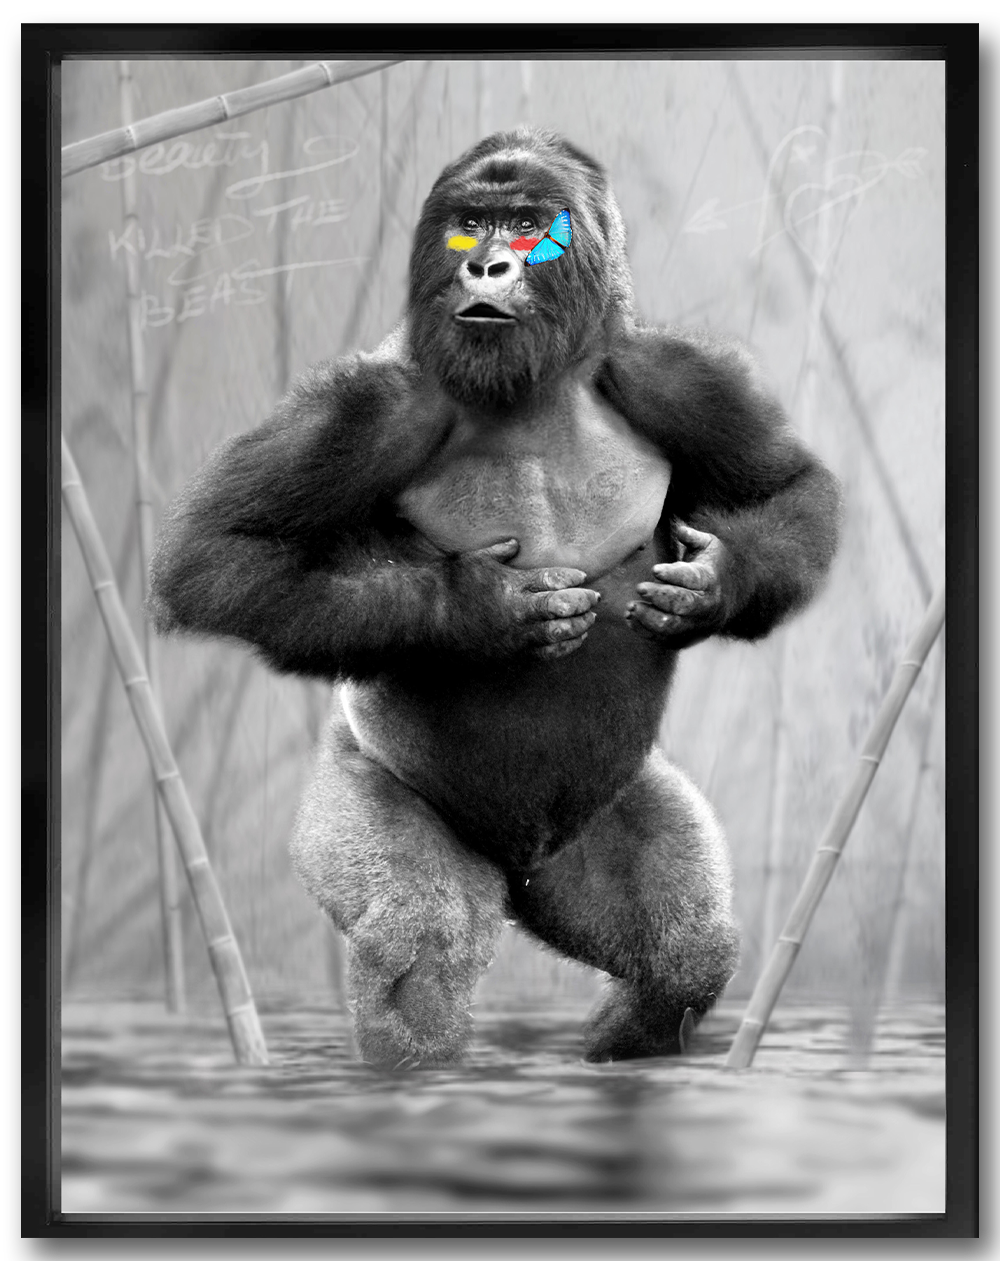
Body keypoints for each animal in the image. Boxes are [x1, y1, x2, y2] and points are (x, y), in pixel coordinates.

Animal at [149, 128, 840, 1068]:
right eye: (471, 224)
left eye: (523, 223)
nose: (485, 266)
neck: (543, 381)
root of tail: (518, 872)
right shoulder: (369, 406)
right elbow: (214, 557)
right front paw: (479, 611)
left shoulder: (681, 378)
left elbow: (791, 487)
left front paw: (715, 586)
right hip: (362, 786)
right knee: (421, 936)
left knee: (686, 950)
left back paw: (628, 1030)